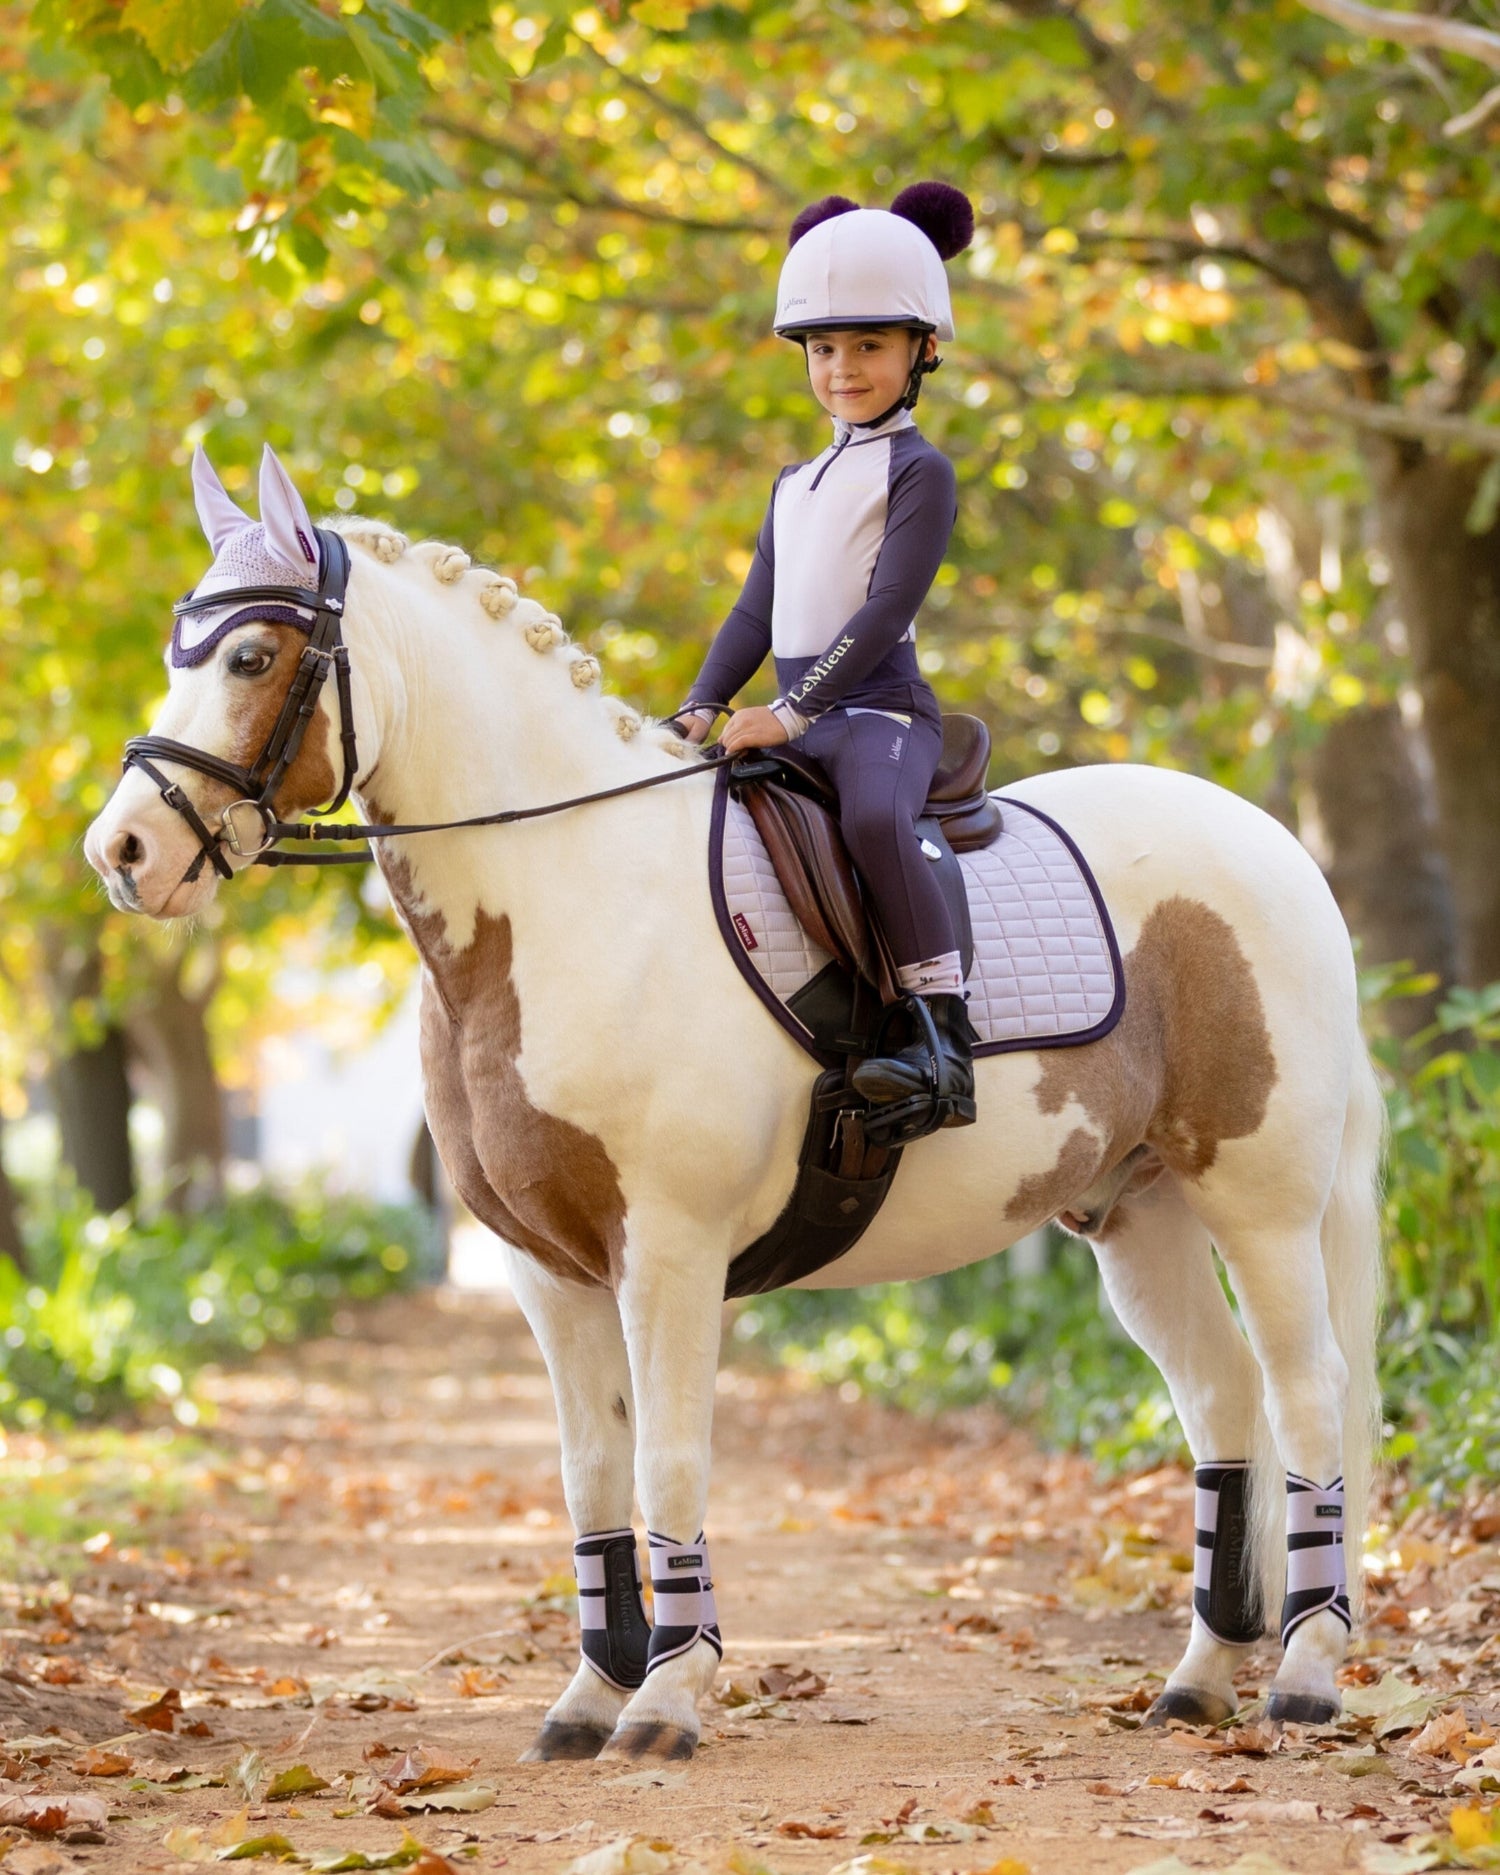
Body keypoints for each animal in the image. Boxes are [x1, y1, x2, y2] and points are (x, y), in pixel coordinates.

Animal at [86, 445, 1383, 1763]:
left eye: (252, 658)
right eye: (181, 654)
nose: (123, 853)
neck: (567, 892)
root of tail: (1274, 845)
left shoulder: (668, 1250)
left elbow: (666, 1460)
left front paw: (665, 1698)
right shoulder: (545, 1270)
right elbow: (593, 1472)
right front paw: (591, 1695)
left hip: (1260, 1203)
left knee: (1307, 1390)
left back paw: (1306, 1675)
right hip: (1138, 1214)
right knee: (1223, 1400)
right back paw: (1200, 1680)